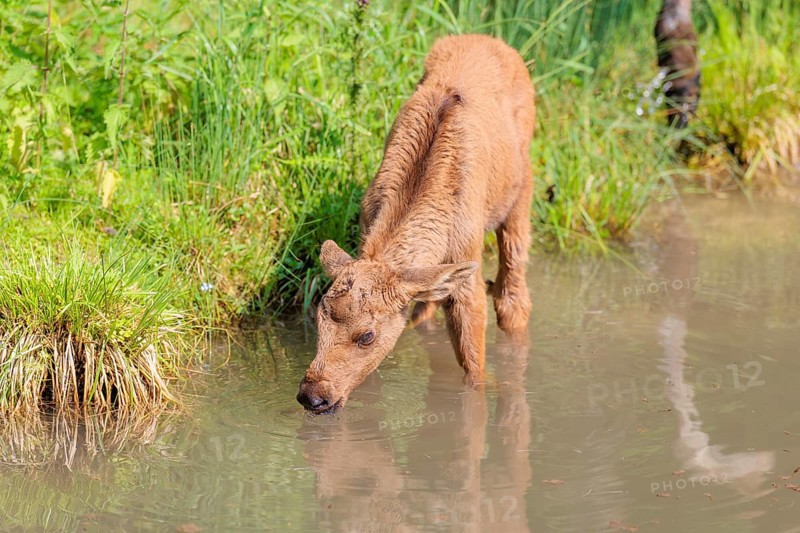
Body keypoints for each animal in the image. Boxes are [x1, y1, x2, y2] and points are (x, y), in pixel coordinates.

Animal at [296, 34, 535, 414]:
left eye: (367, 335)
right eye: (318, 320)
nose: (313, 396)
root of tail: (492, 40)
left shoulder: (467, 276)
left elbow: (474, 367)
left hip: (521, 190)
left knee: (513, 292)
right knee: (428, 307)